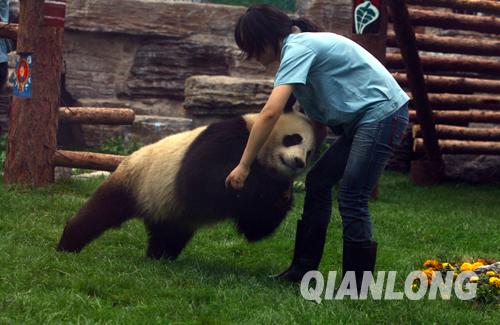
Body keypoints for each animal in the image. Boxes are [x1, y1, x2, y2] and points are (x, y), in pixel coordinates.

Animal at [55, 108, 320, 258]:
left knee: (169, 235)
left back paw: (159, 256)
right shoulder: (229, 137)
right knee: (100, 211)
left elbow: (255, 226)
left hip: (172, 209)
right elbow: (199, 177)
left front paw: (283, 194)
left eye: (309, 153)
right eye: (293, 138)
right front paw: (267, 186)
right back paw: (67, 244)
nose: (298, 162)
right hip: (137, 180)